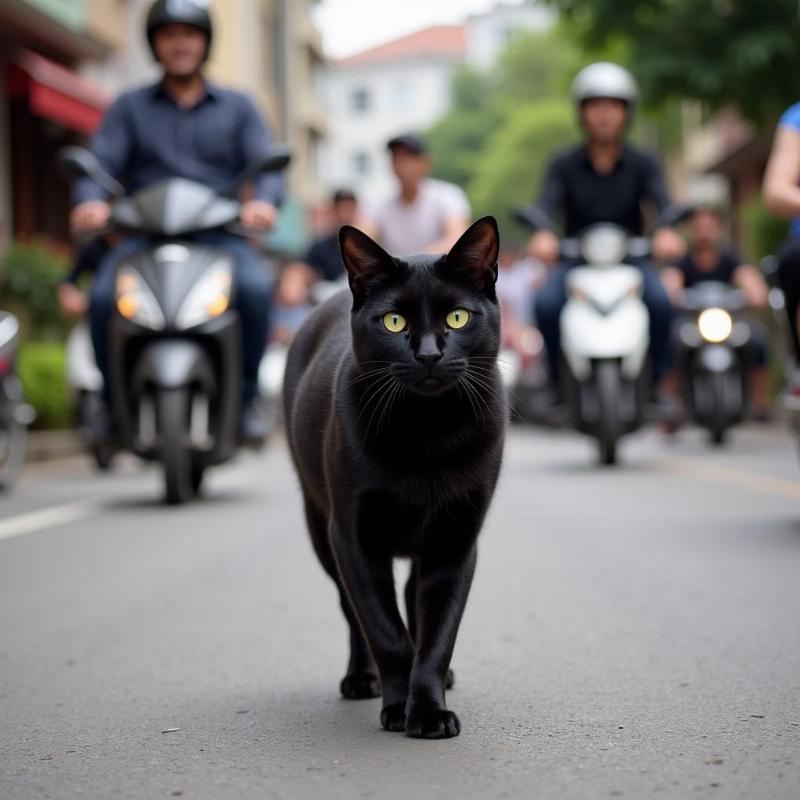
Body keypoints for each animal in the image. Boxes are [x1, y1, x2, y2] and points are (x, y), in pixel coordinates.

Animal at [284, 217, 504, 736]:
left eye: (458, 318)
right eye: (394, 322)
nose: (428, 354)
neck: (428, 431)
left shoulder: (455, 542)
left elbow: (438, 631)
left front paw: (427, 710)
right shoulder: (353, 538)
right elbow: (384, 630)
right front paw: (400, 706)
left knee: (410, 599)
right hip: (319, 528)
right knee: (351, 611)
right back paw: (361, 679)